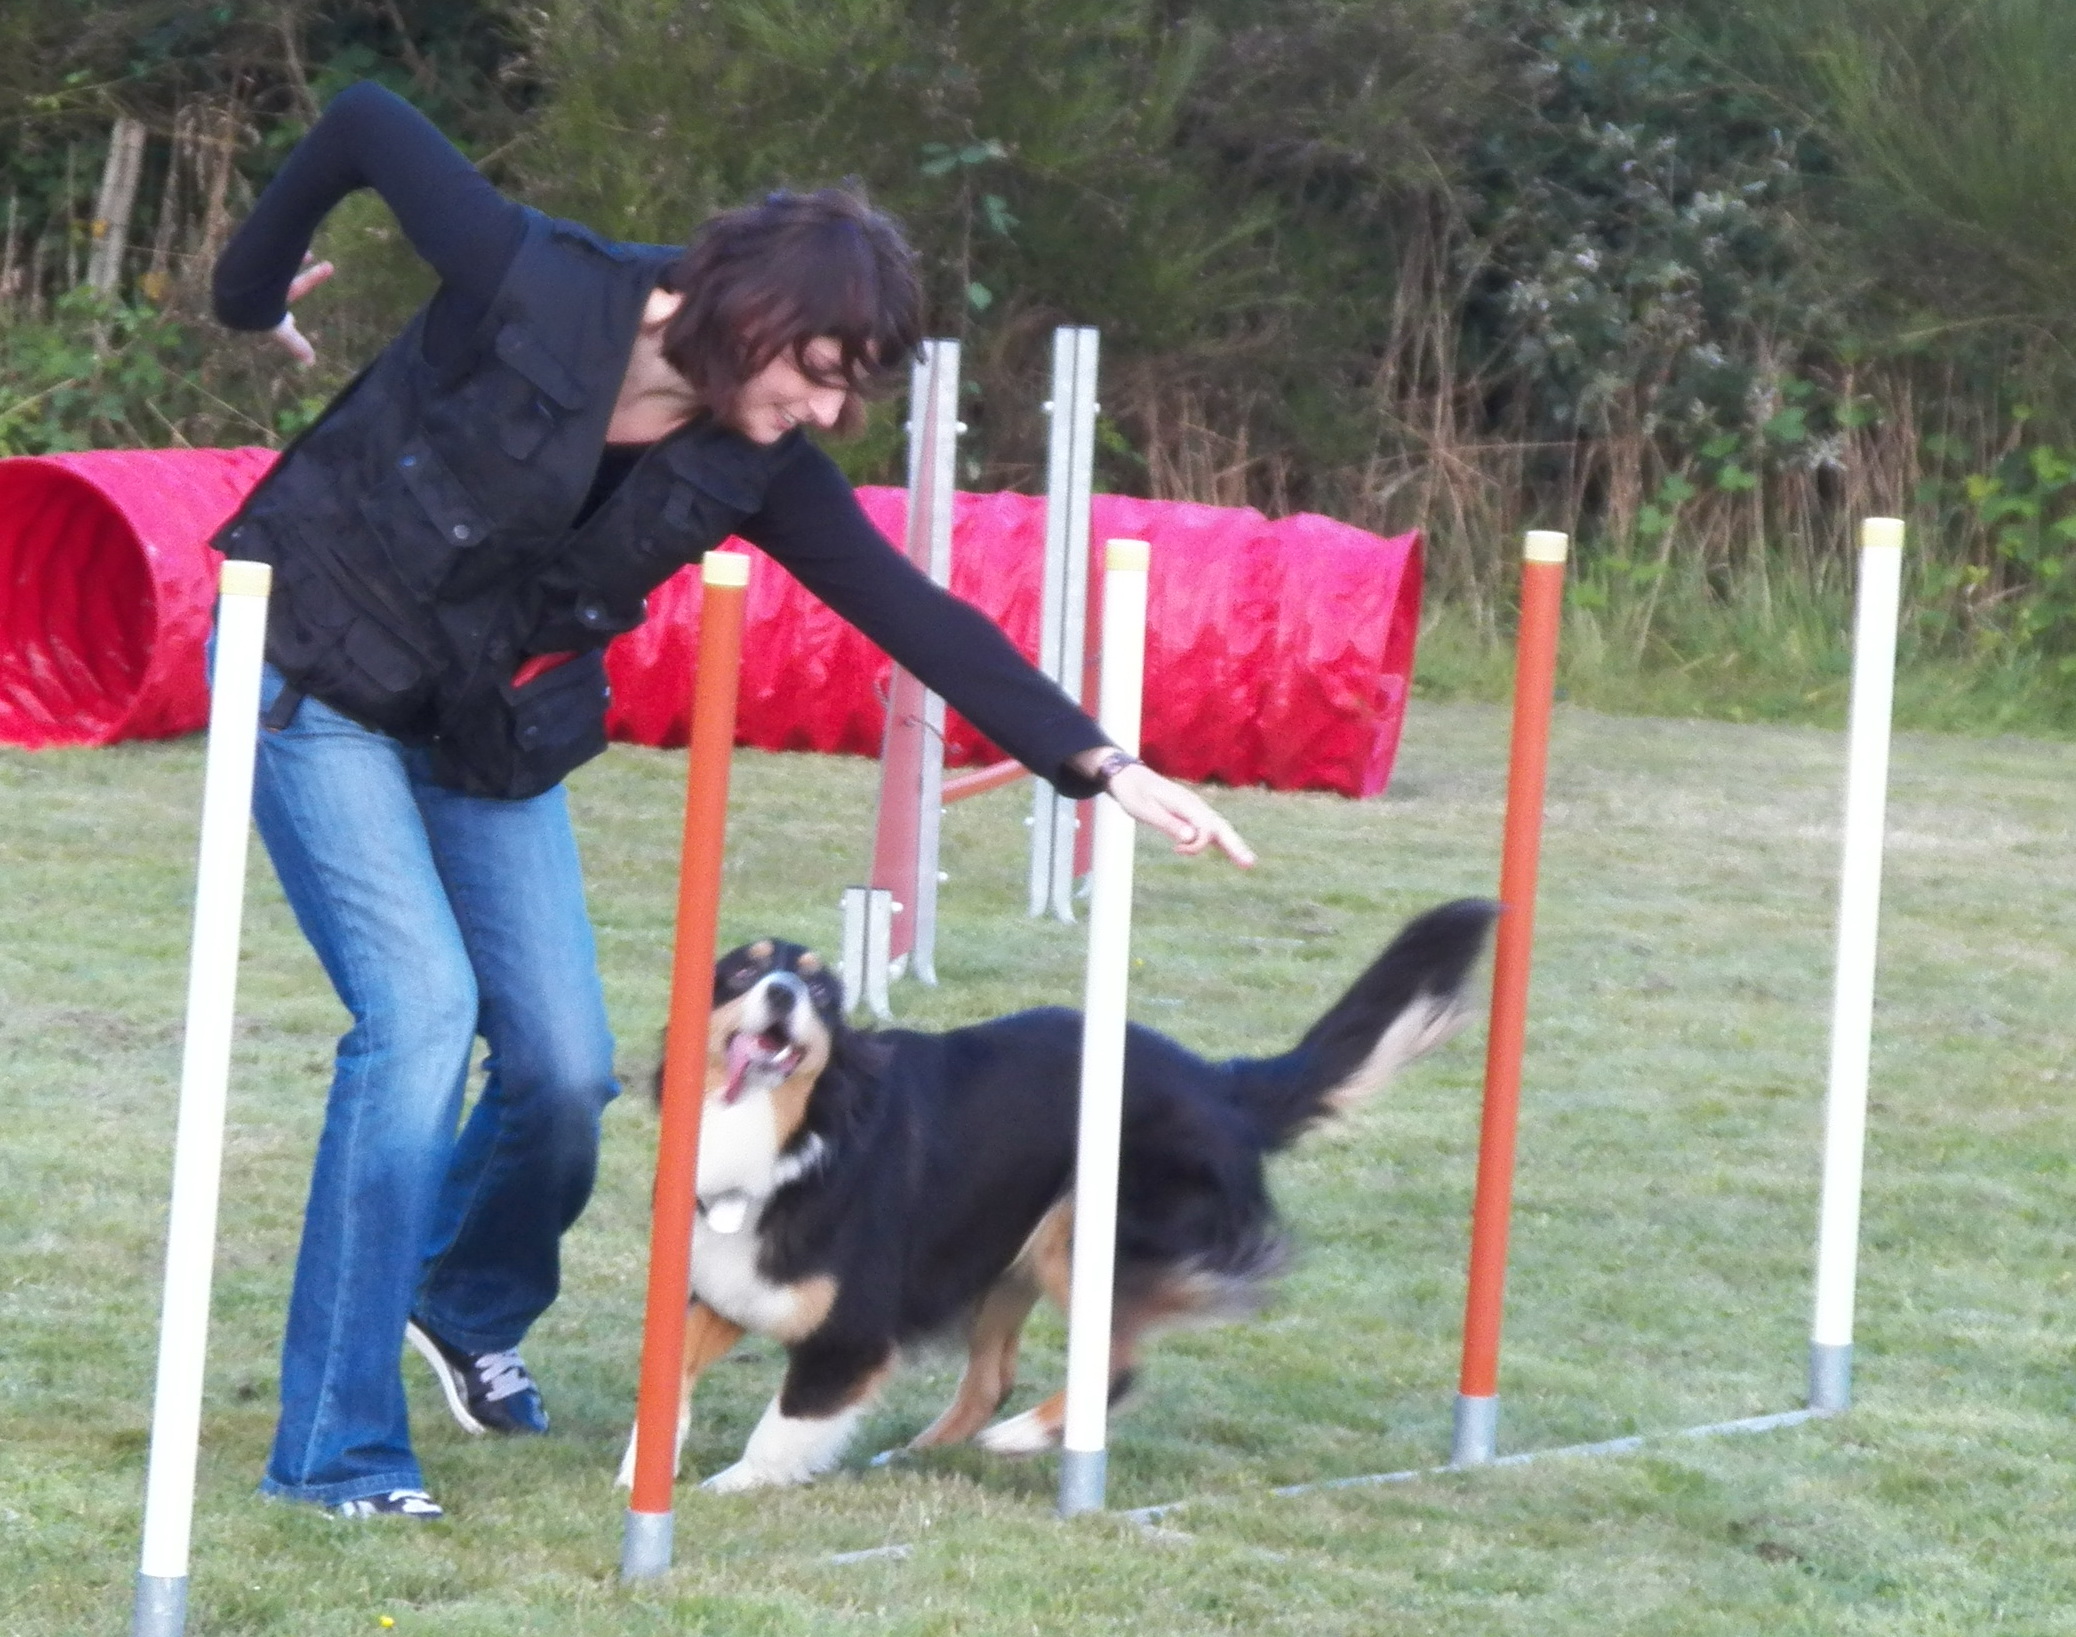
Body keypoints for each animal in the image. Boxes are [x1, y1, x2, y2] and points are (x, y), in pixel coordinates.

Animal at [610, 900, 1494, 1485]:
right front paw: (641, 1465)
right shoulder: (723, 1284)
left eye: (825, 991)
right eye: (745, 969)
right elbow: (670, 1376)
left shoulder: (850, 1332)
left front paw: (730, 1486)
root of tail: (1220, 1083)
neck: (799, 1131)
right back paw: (927, 1449)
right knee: (993, 1375)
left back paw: (1021, 1439)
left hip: (1089, 1230)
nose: (786, 994)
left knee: (1117, 1363)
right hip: (1010, 1249)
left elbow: (786, 1422)